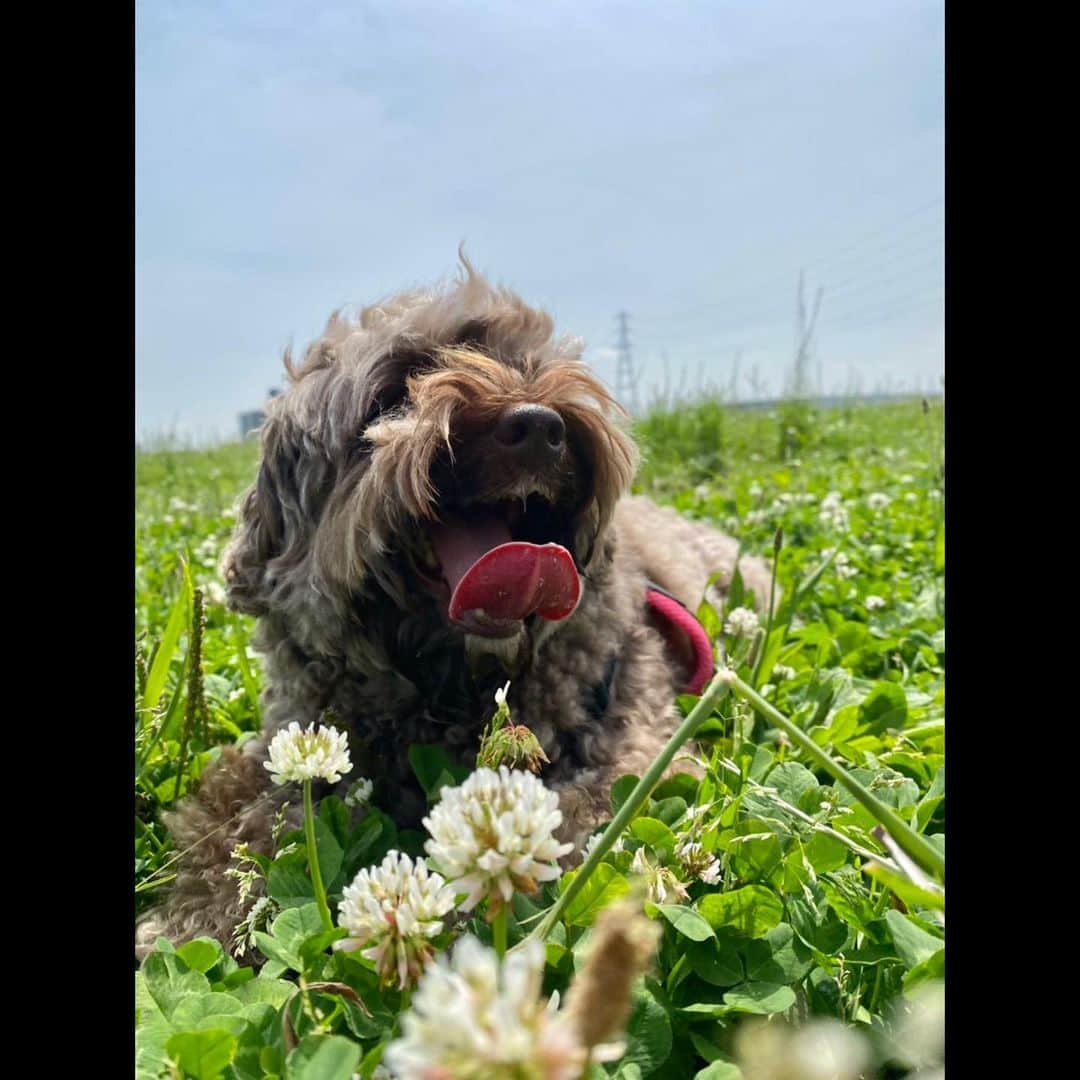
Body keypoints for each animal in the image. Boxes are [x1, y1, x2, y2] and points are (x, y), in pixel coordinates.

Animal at [135, 261, 773, 963]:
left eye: (528, 361)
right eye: (394, 390)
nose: (539, 426)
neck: (451, 685)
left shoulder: (633, 743)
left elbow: (592, 813)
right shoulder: (299, 740)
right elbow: (243, 818)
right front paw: (200, 921)